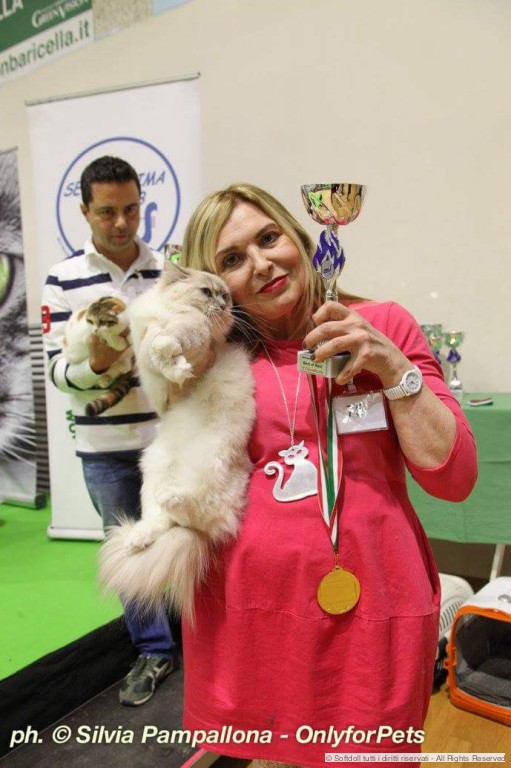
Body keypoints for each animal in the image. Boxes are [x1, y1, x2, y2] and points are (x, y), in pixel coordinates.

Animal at [98, 262, 255, 621]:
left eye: (226, 296)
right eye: (207, 292)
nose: (223, 305)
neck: (170, 309)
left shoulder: (195, 333)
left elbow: (172, 340)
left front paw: (177, 363)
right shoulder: (148, 355)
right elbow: (155, 354)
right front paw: (176, 367)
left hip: (212, 474)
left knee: (200, 514)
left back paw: (173, 499)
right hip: (154, 472)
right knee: (161, 520)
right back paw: (138, 538)